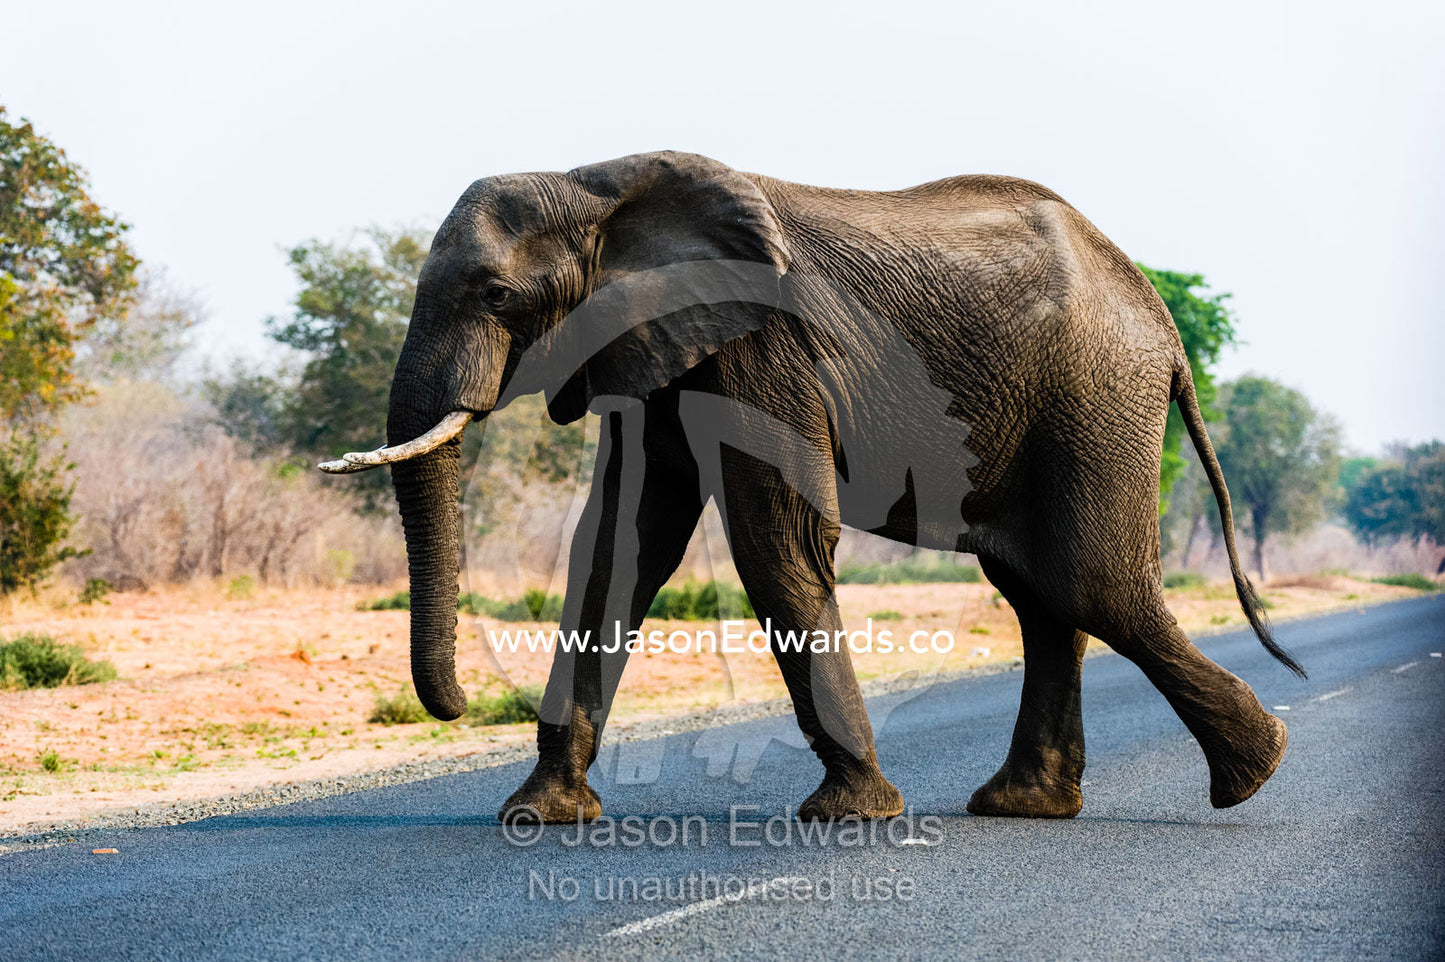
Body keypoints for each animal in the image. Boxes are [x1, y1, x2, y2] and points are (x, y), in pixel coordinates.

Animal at [320, 150, 1304, 824]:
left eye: (495, 294)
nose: (453, 708)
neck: (596, 185)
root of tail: (1160, 320)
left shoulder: (763, 349)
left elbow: (775, 542)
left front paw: (850, 814)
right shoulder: (653, 350)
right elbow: (617, 546)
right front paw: (537, 816)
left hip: (1091, 396)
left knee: (1086, 582)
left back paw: (1256, 772)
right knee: (1040, 592)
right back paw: (1028, 805)